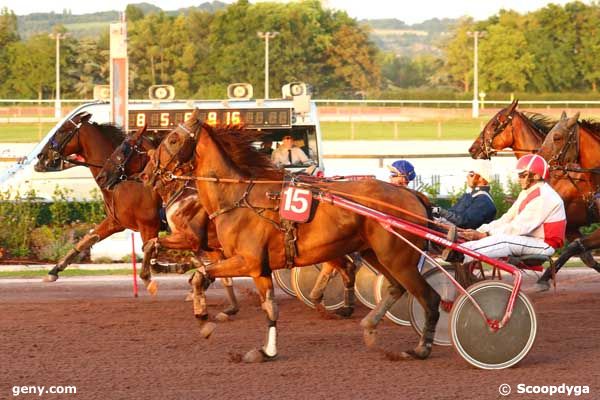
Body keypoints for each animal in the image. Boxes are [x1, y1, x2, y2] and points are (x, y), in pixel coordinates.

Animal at [150, 111, 440, 364]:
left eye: (173, 139)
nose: (151, 171)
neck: (238, 198)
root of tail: (413, 195)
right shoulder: (259, 268)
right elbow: (269, 307)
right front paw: (267, 351)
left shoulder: (247, 261)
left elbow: (200, 276)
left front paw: (204, 320)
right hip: (375, 253)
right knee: (395, 287)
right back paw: (369, 325)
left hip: (398, 258)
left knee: (429, 297)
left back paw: (422, 347)